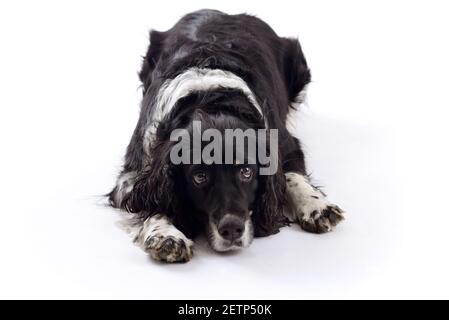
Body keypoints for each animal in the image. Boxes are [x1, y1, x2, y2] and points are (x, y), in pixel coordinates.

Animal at [107, 9, 344, 262]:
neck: (210, 102)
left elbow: (292, 176)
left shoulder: (285, 143)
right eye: (199, 177)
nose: (232, 229)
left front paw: (317, 207)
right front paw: (166, 235)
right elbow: (150, 202)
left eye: (247, 172)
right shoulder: (134, 169)